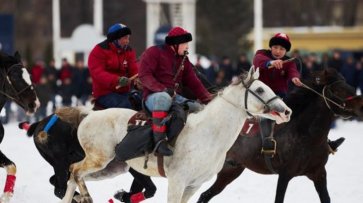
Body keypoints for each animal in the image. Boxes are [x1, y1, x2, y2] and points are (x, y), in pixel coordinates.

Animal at [60, 67, 292, 203]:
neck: (209, 134)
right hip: (99, 160)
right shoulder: (177, 181)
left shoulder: (193, 186)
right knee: (76, 172)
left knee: (72, 175)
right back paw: (86, 197)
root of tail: (88, 114)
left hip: (111, 167)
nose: (286, 111)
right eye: (260, 90)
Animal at [198, 68, 363, 203]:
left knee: (205, 195)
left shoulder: (319, 173)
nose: (361, 106)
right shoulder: (285, 175)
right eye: (338, 90)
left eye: (351, 87)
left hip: (230, 169)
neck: (305, 134)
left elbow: (326, 198)